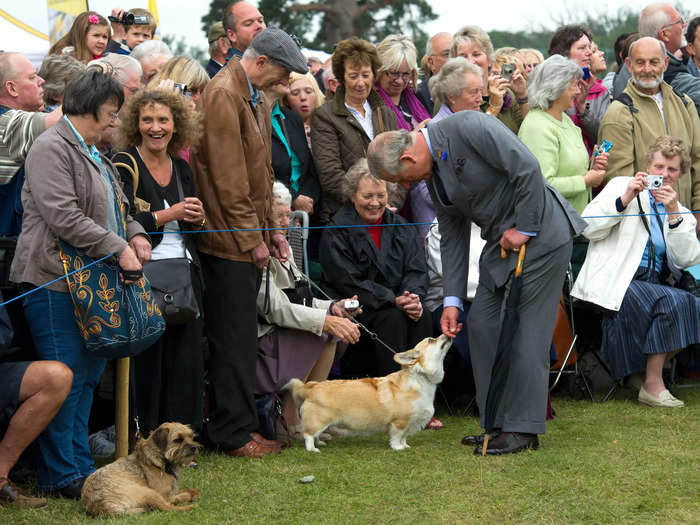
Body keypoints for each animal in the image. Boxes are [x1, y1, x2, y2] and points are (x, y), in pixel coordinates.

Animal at [286, 336, 454, 450]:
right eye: (431, 340)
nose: (448, 335)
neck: (421, 378)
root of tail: (311, 387)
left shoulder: (410, 422)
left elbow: (404, 437)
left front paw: (405, 445)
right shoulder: (400, 421)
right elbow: (397, 436)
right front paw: (398, 447)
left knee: (314, 435)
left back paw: (320, 442)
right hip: (320, 419)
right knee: (308, 435)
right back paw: (313, 449)